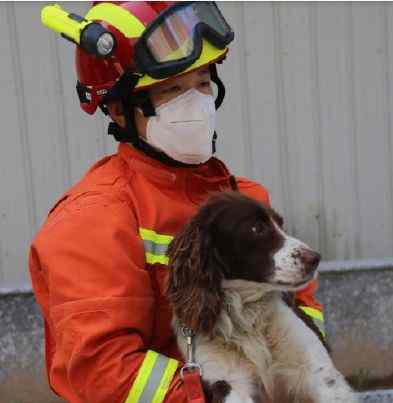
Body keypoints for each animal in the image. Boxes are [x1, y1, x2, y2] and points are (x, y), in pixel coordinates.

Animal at [165, 193, 356, 403]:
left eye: (280, 224)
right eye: (257, 228)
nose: (315, 258)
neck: (247, 315)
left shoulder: (320, 373)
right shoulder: (223, 380)